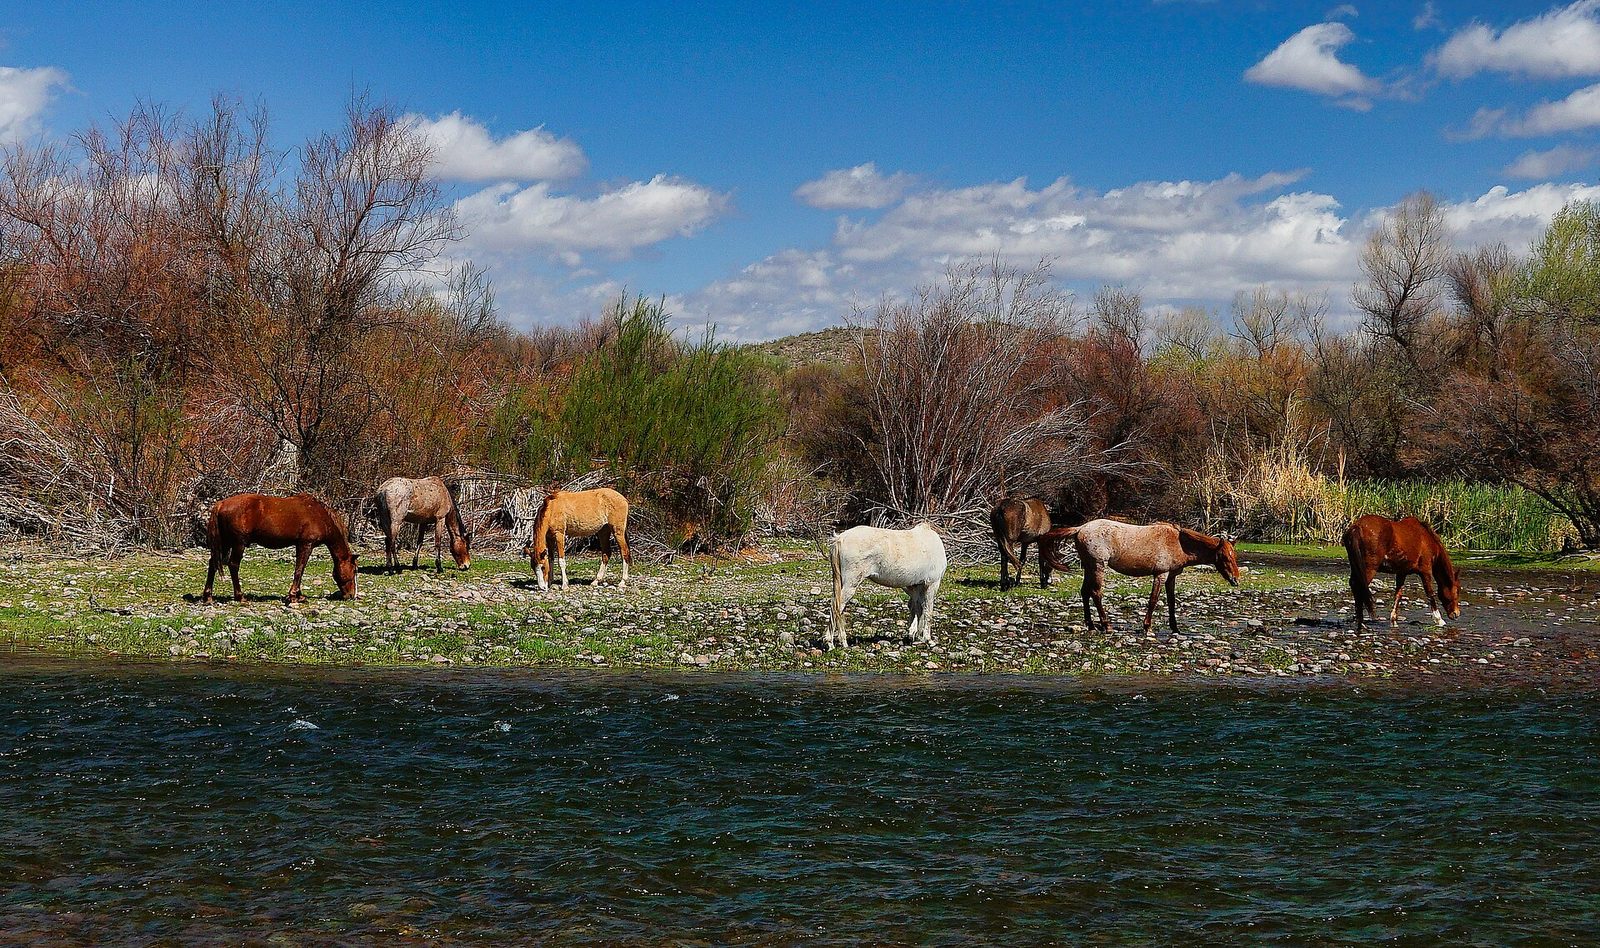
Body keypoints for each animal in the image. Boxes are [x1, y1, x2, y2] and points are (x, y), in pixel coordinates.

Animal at [203, 493, 358, 604]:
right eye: (355, 570)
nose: (351, 595)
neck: (319, 515)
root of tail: (221, 504)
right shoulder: (306, 545)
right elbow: (299, 570)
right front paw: (294, 596)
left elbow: (299, 570)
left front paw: (299, 595)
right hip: (238, 544)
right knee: (233, 565)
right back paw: (240, 597)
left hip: (225, 543)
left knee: (213, 564)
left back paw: (208, 597)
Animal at [1042, 519, 1238, 635]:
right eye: (1225, 557)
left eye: (1234, 556)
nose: (1235, 580)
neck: (1179, 543)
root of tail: (1080, 528)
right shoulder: (1160, 575)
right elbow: (1153, 600)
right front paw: (1147, 627)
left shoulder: (1171, 577)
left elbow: (1171, 601)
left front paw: (1175, 628)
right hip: (1098, 566)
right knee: (1096, 593)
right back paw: (1106, 625)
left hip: (1089, 567)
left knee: (1085, 592)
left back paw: (1091, 625)